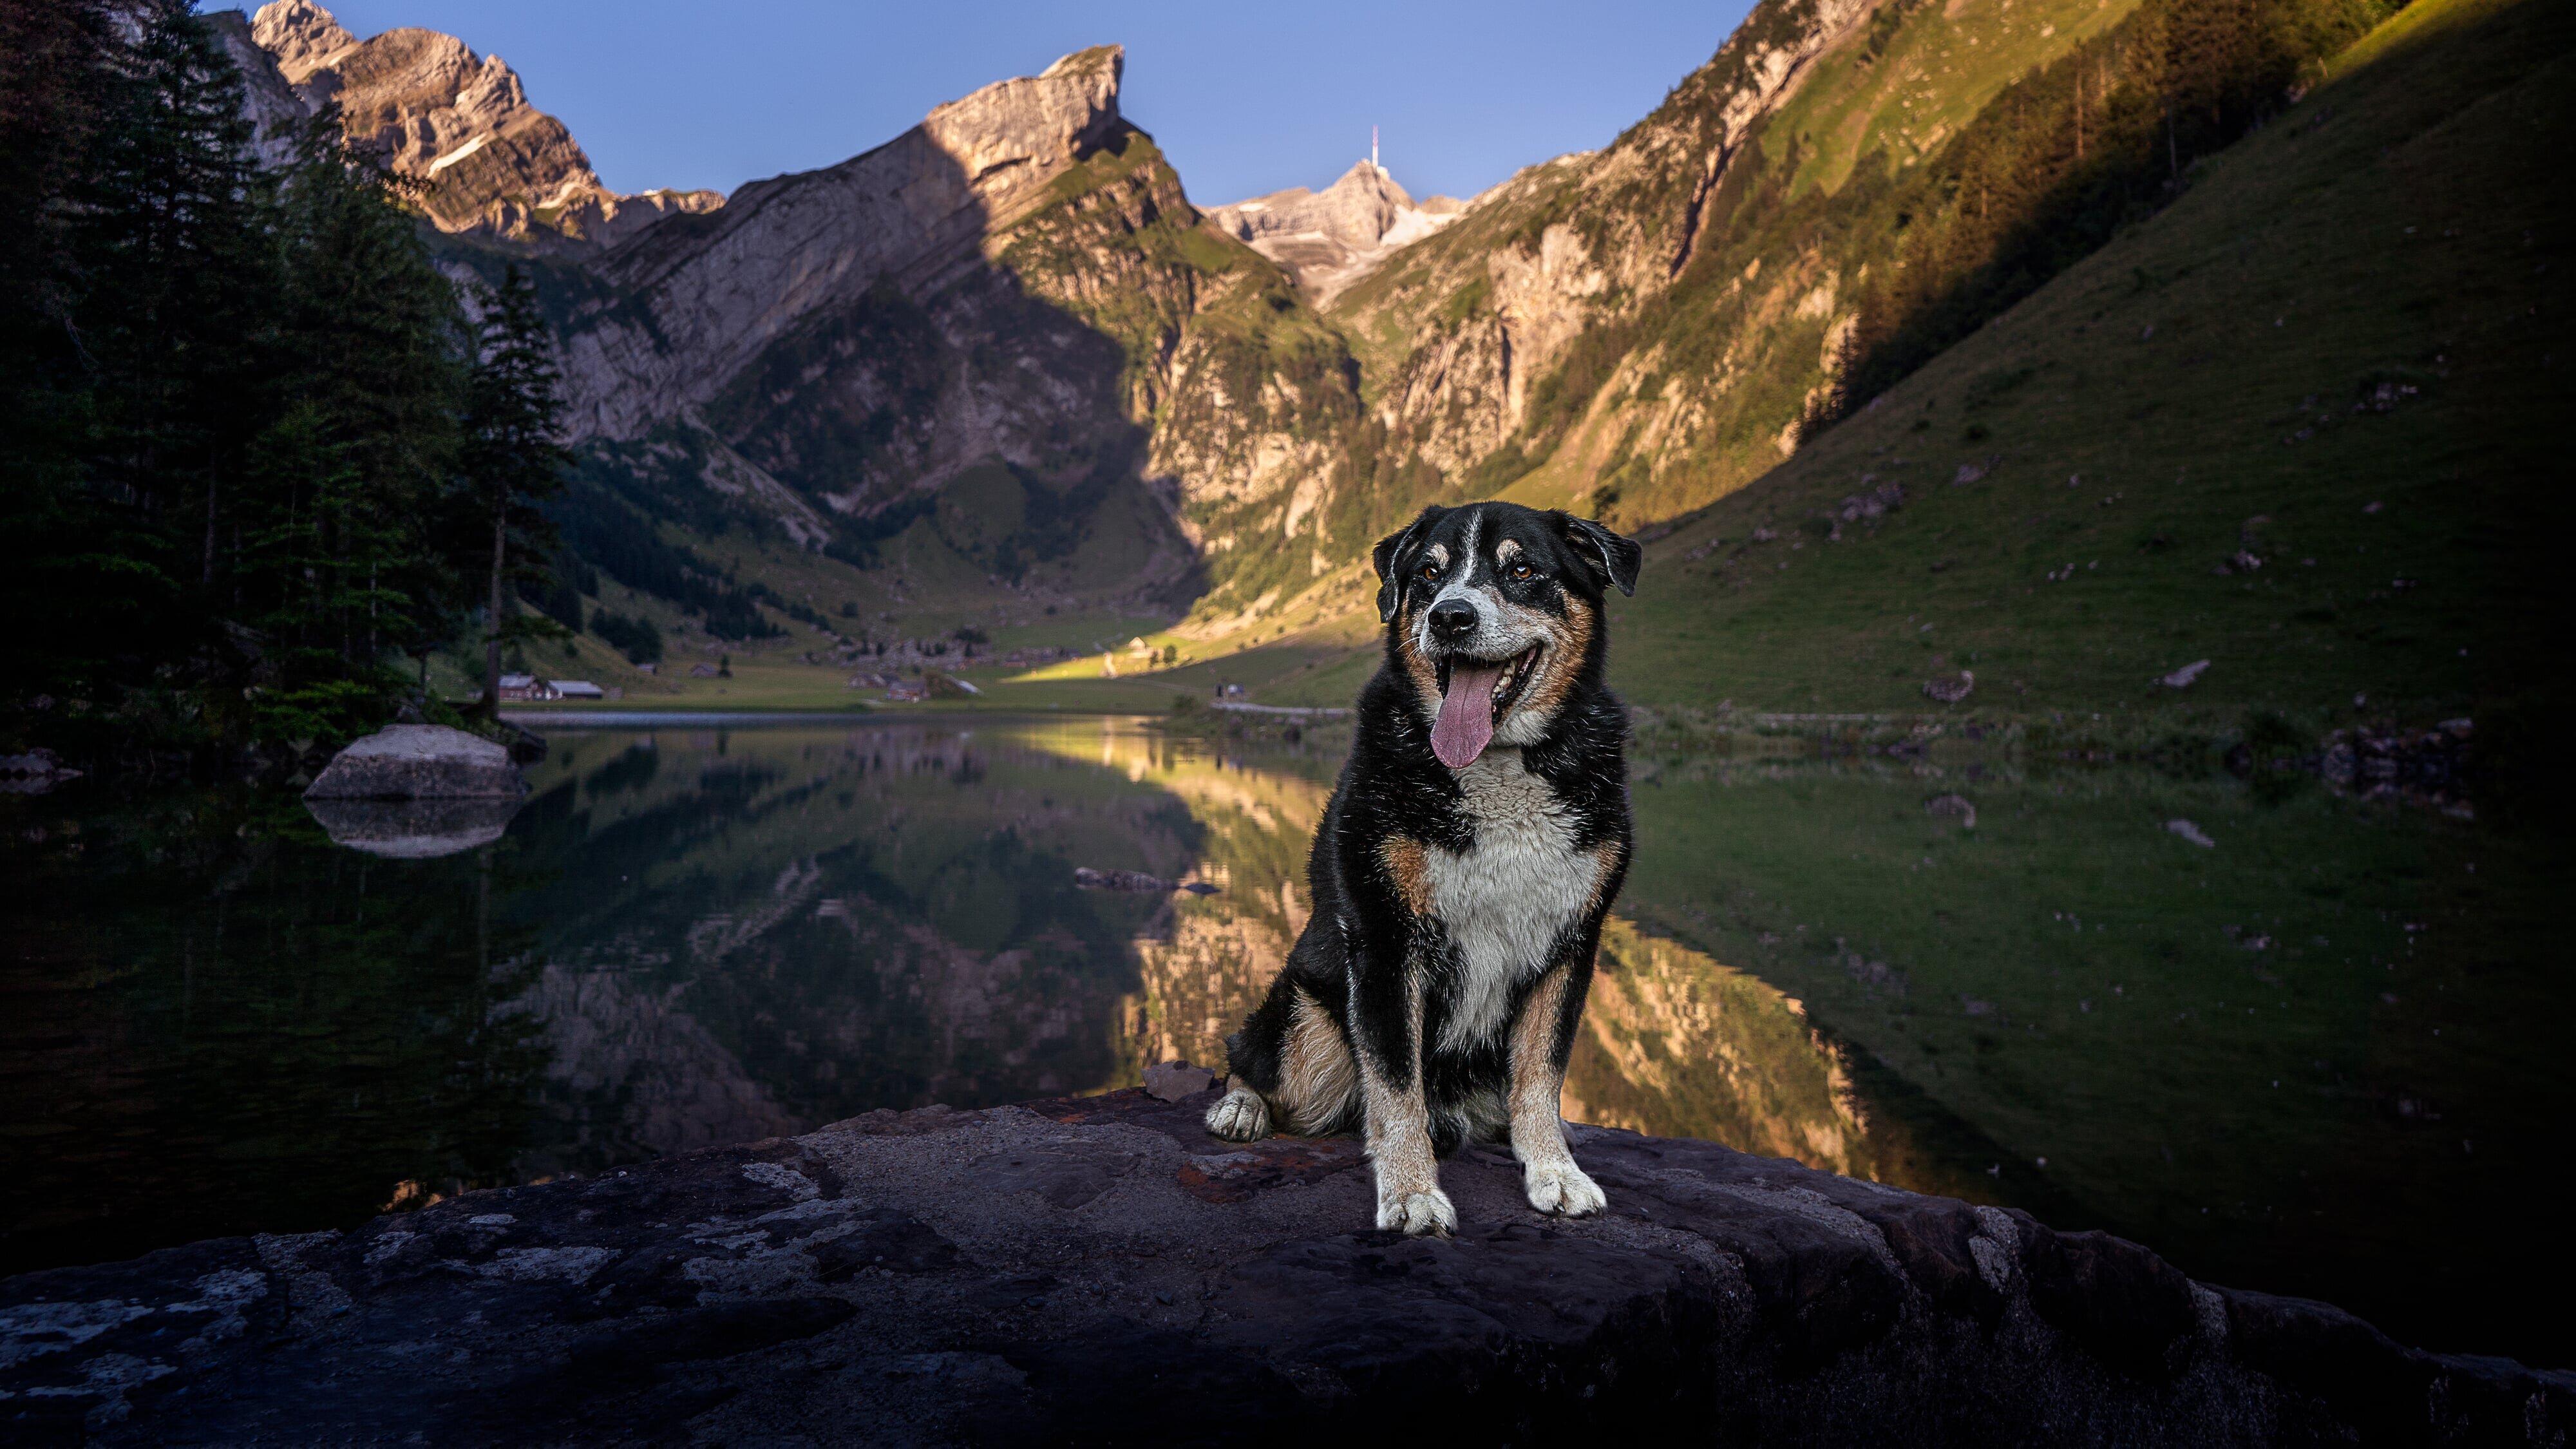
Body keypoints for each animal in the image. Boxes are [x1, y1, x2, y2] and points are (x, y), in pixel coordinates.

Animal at [1211, 500, 1649, 1227]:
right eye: (1428, 575)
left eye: (1522, 569)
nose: (1450, 617)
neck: (1498, 766)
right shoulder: (1387, 937)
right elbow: (1395, 1087)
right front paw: (1413, 1193)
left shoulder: (1570, 944)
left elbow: (1542, 1076)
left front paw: (1556, 1171)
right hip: (1306, 1021)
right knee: (1255, 1060)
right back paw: (1240, 1108)